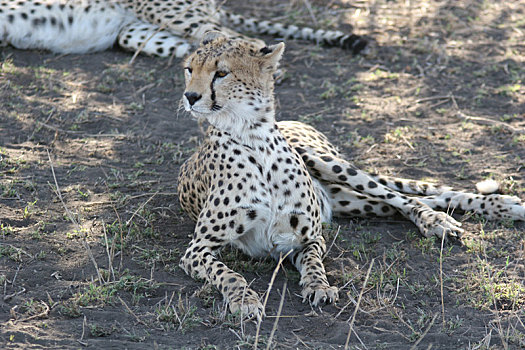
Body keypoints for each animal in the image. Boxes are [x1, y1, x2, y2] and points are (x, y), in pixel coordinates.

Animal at [177, 32, 524, 320]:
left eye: (221, 73)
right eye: (189, 69)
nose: (190, 97)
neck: (253, 138)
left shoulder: (309, 238)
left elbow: (314, 264)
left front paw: (318, 286)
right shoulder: (197, 250)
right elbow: (229, 274)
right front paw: (245, 300)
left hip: (331, 164)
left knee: (408, 195)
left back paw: (466, 214)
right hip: (350, 201)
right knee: (409, 201)